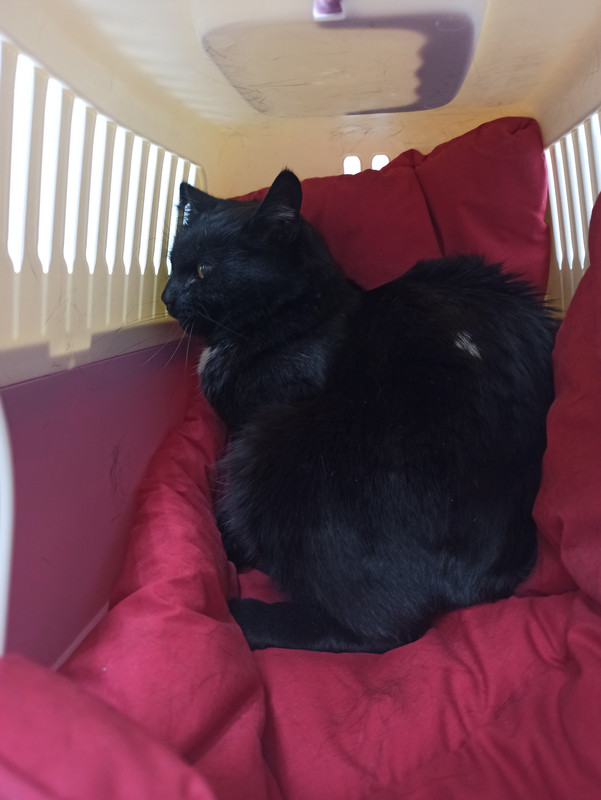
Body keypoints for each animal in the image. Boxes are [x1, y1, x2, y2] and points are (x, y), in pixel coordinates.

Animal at [161, 169, 557, 654]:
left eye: (203, 272)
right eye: (172, 261)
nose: (166, 297)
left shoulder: (255, 417)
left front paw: (226, 537)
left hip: (268, 448)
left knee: (379, 629)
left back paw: (238, 614)